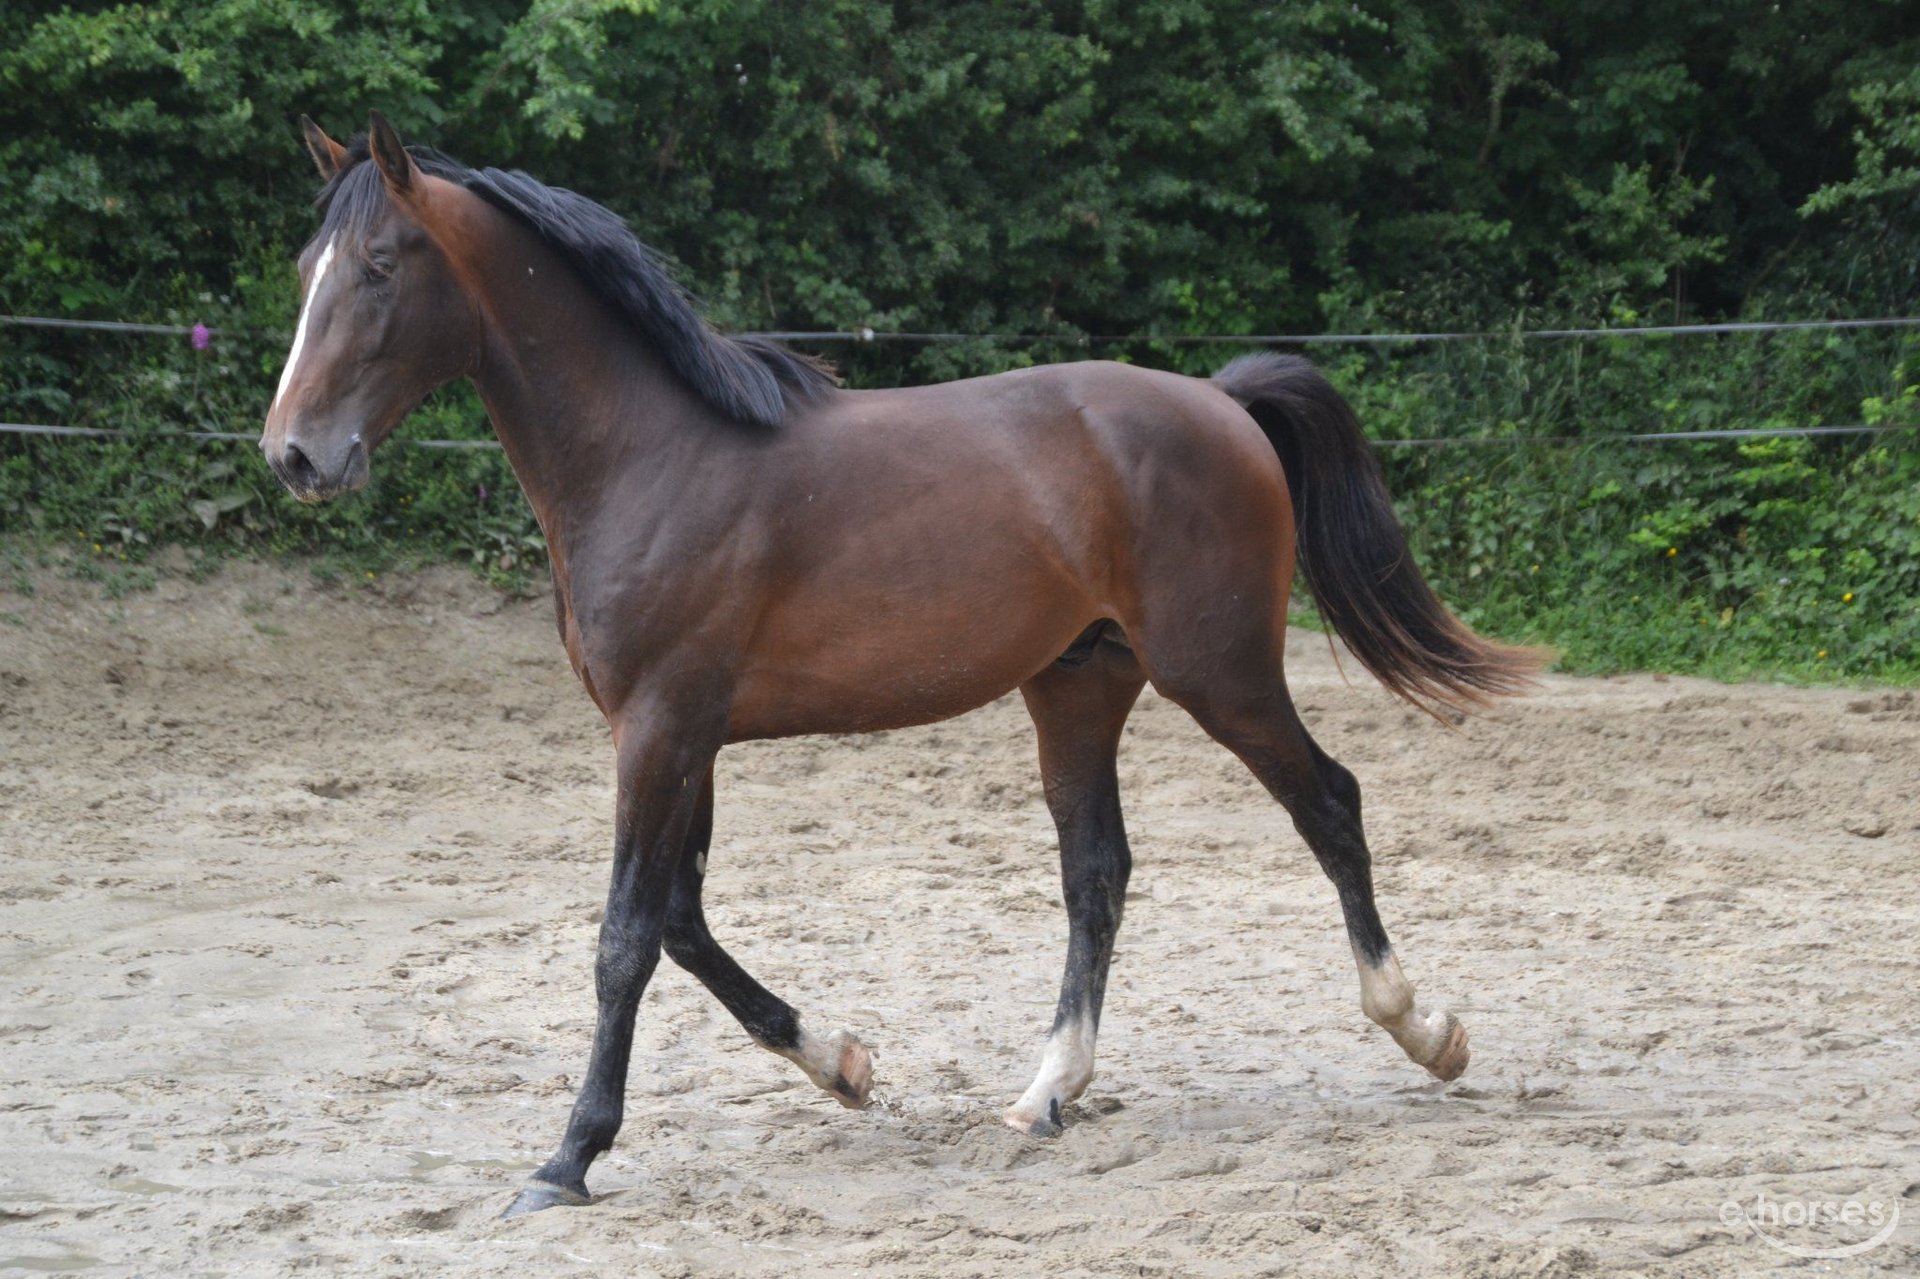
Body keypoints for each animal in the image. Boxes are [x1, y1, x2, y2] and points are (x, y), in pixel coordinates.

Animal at [266, 111, 1528, 1213]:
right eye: (303, 267)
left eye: (379, 265)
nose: (294, 455)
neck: (650, 456)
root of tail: (1219, 402)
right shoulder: (685, 736)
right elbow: (682, 921)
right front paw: (843, 1064)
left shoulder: (661, 727)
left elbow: (626, 939)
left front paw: (567, 1159)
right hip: (1078, 686)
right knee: (1098, 871)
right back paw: (1046, 1092)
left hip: (1219, 673)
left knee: (1330, 804)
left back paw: (1427, 1032)